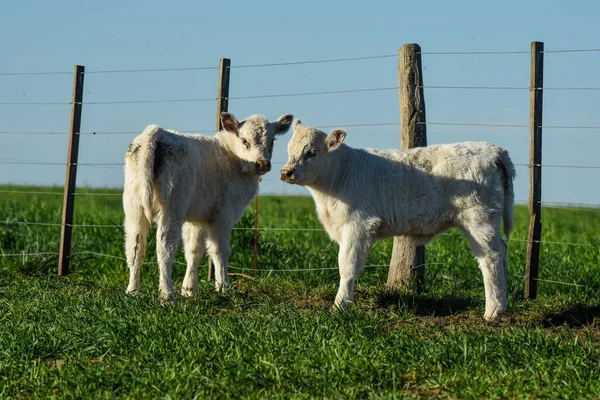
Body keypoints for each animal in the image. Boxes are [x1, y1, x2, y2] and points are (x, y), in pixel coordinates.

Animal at [123, 111, 292, 300]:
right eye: (244, 140)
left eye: (272, 141)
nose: (263, 163)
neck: (233, 158)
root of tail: (156, 132)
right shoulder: (222, 216)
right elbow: (219, 251)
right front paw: (224, 287)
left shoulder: (197, 218)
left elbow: (194, 250)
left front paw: (189, 289)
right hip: (172, 207)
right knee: (164, 248)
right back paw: (167, 295)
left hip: (134, 206)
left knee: (135, 247)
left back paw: (132, 291)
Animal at [282, 120, 516, 324]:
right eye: (288, 149)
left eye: (311, 153)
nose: (286, 172)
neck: (338, 177)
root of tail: (494, 150)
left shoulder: (357, 226)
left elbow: (347, 266)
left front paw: (340, 306)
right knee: (502, 251)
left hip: (479, 219)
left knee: (491, 257)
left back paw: (493, 312)